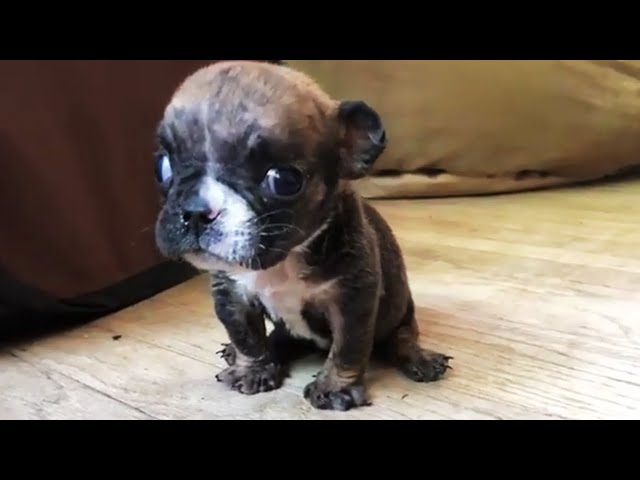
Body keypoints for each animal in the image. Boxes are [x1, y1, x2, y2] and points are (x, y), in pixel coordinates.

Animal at [153, 61, 452, 412]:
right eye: (162, 166)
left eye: (283, 180)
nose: (196, 211)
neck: (283, 261)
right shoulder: (232, 296)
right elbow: (246, 337)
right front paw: (251, 369)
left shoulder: (351, 302)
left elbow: (347, 349)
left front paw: (334, 388)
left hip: (400, 312)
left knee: (402, 336)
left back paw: (420, 358)